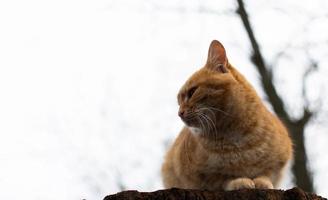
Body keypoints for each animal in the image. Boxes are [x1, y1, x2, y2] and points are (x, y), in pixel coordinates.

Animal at [161, 39, 292, 191]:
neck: (236, 134)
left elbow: (266, 174)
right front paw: (239, 181)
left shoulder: (278, 164)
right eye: (179, 102)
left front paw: (262, 182)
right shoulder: (199, 176)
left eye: (192, 92)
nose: (179, 113)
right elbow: (223, 179)